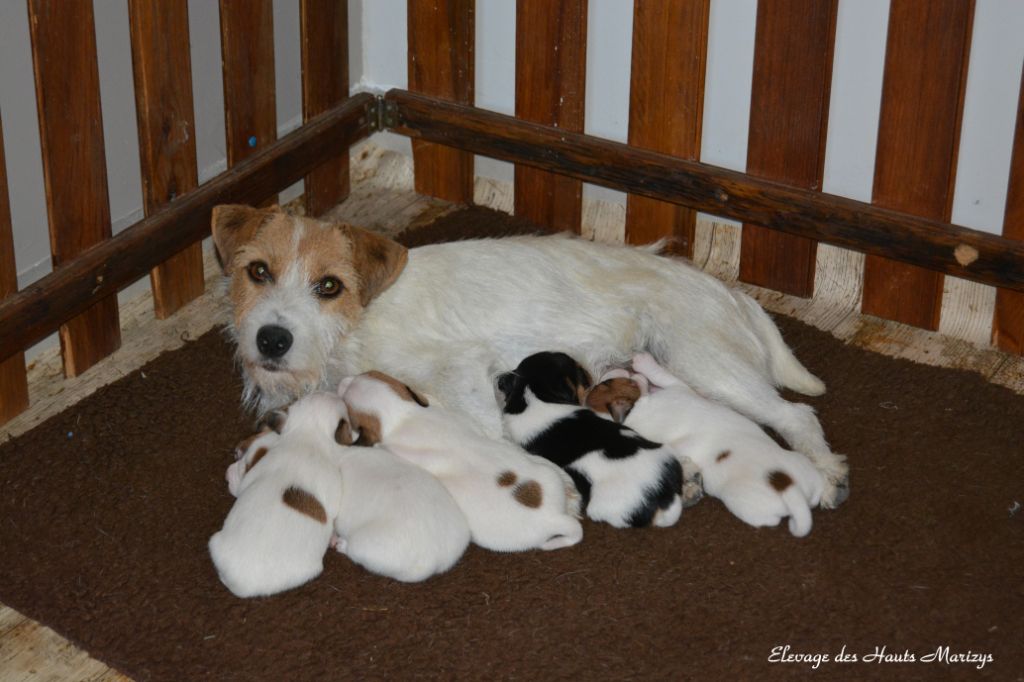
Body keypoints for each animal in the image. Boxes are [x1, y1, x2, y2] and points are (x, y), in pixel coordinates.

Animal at [585, 350, 823, 536]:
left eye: (604, 384)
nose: (610, 369)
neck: (636, 410)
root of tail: (787, 485)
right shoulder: (675, 390)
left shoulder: (675, 387)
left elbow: (660, 374)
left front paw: (643, 361)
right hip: (759, 495)